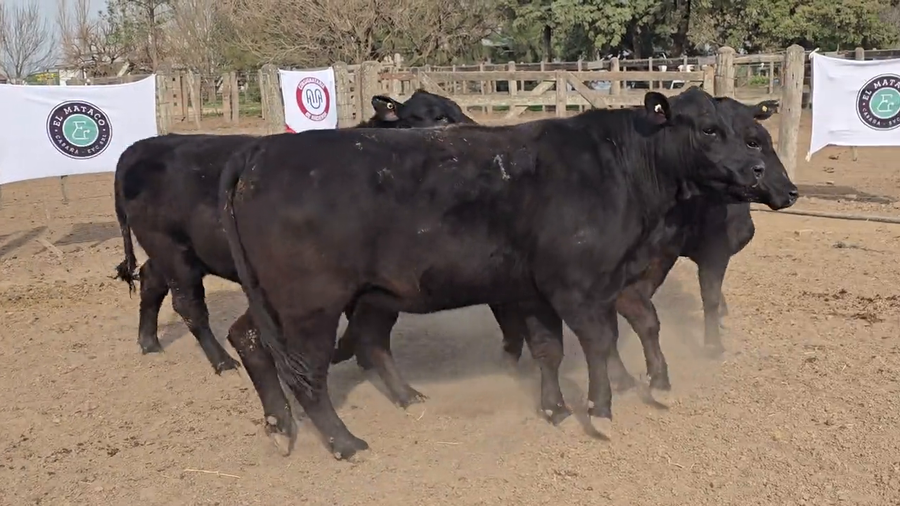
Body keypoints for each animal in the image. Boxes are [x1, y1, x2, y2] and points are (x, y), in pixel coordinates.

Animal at [113, 89, 476, 379]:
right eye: (438, 117)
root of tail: (142, 147)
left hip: (172, 253)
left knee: (151, 282)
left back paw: (149, 342)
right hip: (173, 252)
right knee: (189, 306)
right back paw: (222, 362)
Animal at [330, 96, 797, 406]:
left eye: (756, 138)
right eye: (710, 130)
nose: (785, 189)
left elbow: (635, 324)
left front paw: (645, 378)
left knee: (372, 336)